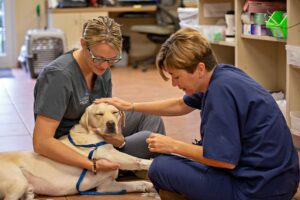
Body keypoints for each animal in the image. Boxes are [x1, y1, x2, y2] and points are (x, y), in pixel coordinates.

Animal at [0, 103, 155, 200]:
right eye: (99, 114)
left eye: (115, 112)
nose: (111, 124)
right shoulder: (110, 155)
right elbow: (137, 160)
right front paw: (152, 162)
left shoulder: (107, 186)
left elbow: (139, 183)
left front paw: (150, 186)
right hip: (18, 183)